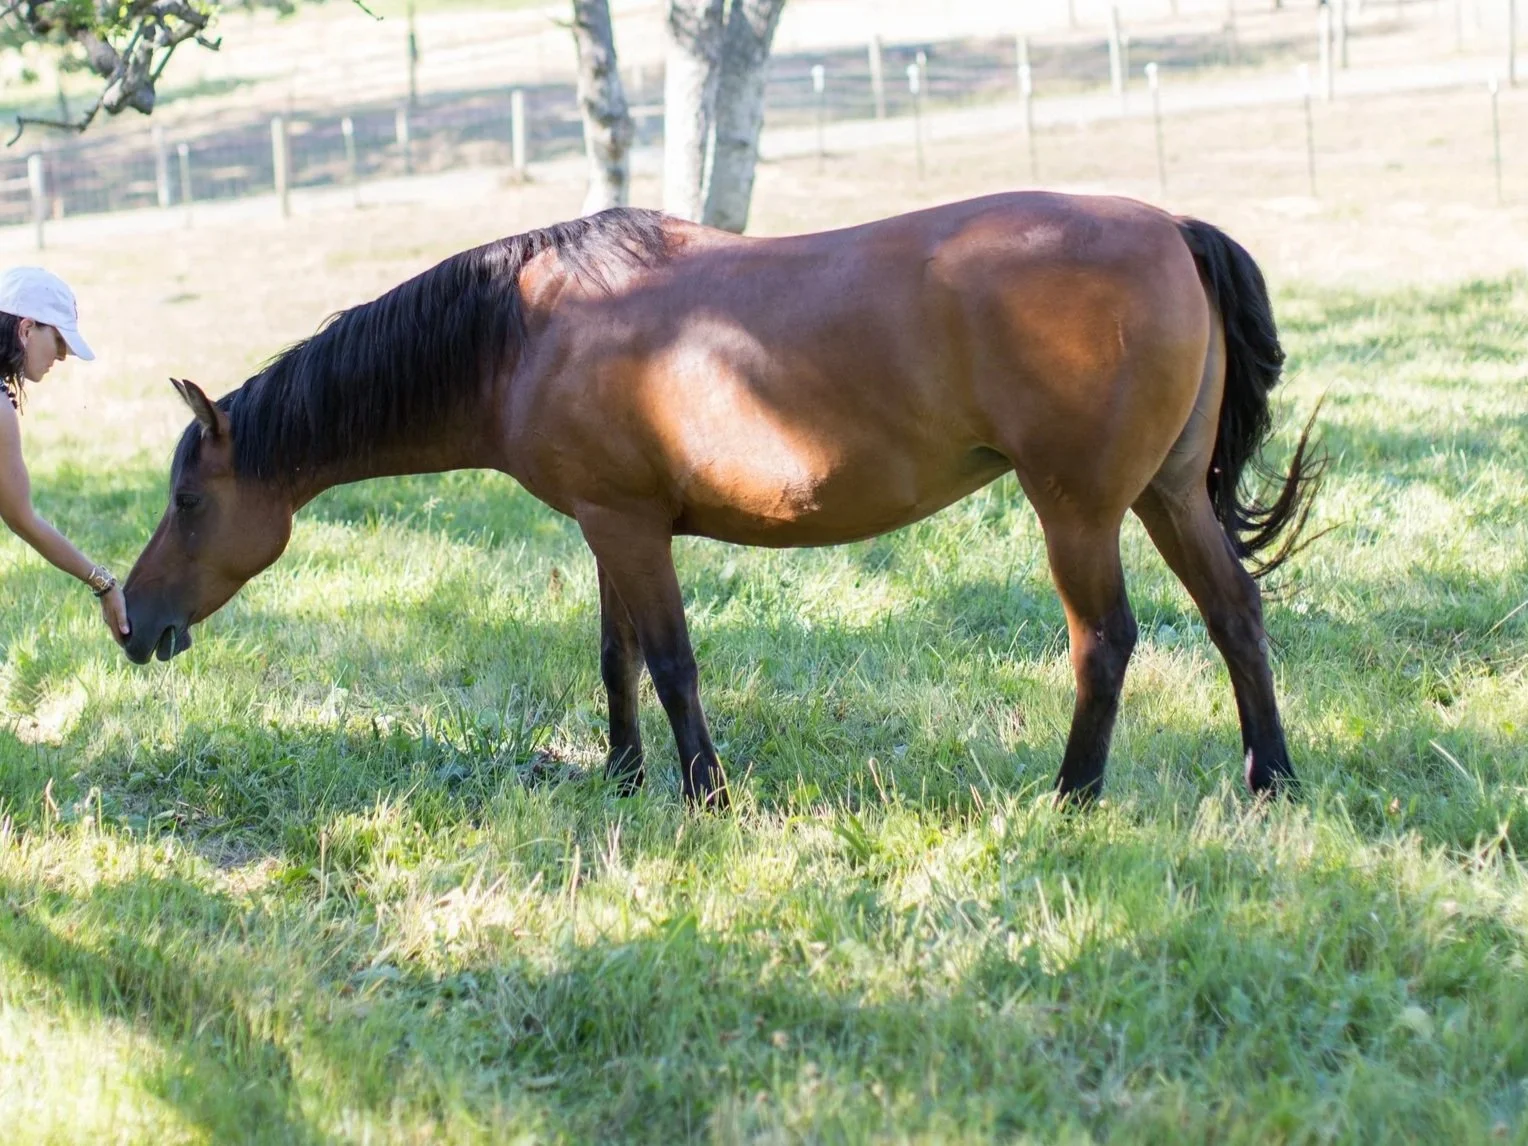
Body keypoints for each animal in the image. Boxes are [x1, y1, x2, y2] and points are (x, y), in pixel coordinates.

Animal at [121, 194, 1319, 809]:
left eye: (188, 499)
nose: (133, 622)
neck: (524, 331)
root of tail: (1169, 225)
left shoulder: (627, 528)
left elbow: (669, 662)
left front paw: (704, 794)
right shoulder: (610, 525)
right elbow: (615, 658)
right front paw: (621, 777)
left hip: (1076, 512)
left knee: (1103, 641)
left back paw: (1072, 794)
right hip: (1169, 497)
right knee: (1234, 616)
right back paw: (1269, 778)